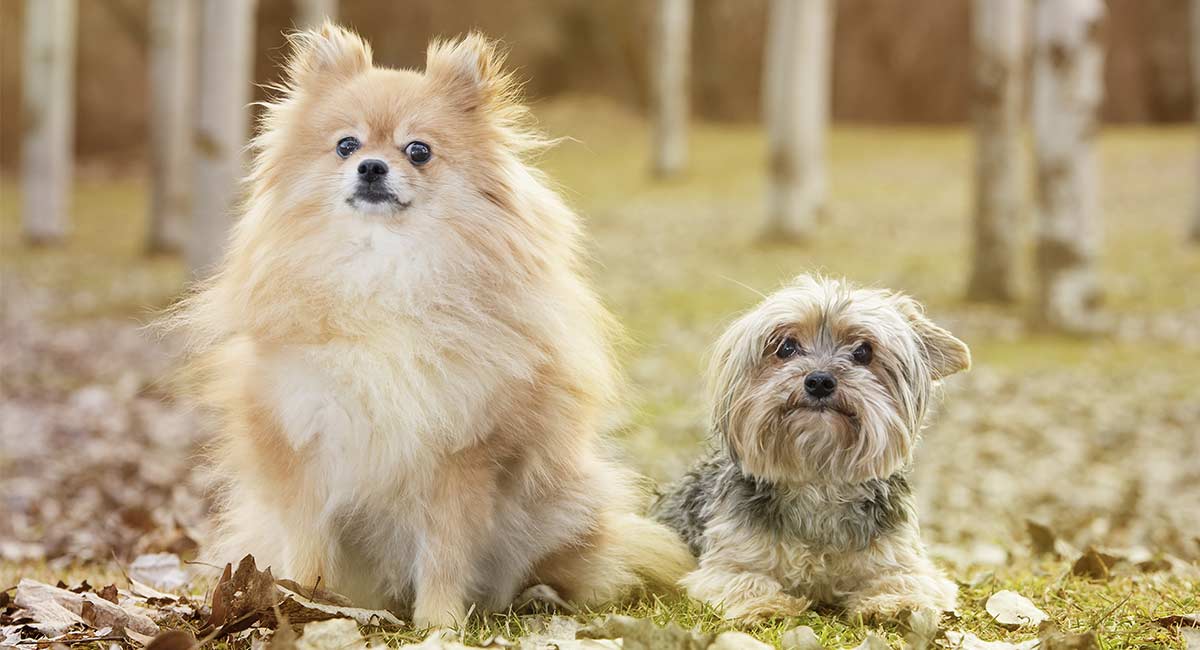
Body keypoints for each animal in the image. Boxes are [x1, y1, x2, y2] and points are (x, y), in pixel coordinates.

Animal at [169, 24, 696, 628]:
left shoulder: (460, 457)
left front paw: (438, 625)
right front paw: (299, 604)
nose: (372, 167)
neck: (385, 273)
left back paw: (537, 597)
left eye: (417, 151)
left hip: (562, 505)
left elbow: (445, 554)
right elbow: (306, 545)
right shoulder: (304, 446)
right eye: (346, 145)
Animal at [652, 275, 969, 623]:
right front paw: (767, 605)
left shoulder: (901, 557)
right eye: (786, 347)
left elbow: (905, 578)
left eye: (863, 351)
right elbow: (744, 579)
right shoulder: (727, 561)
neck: (819, 478)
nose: (819, 381)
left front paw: (896, 604)